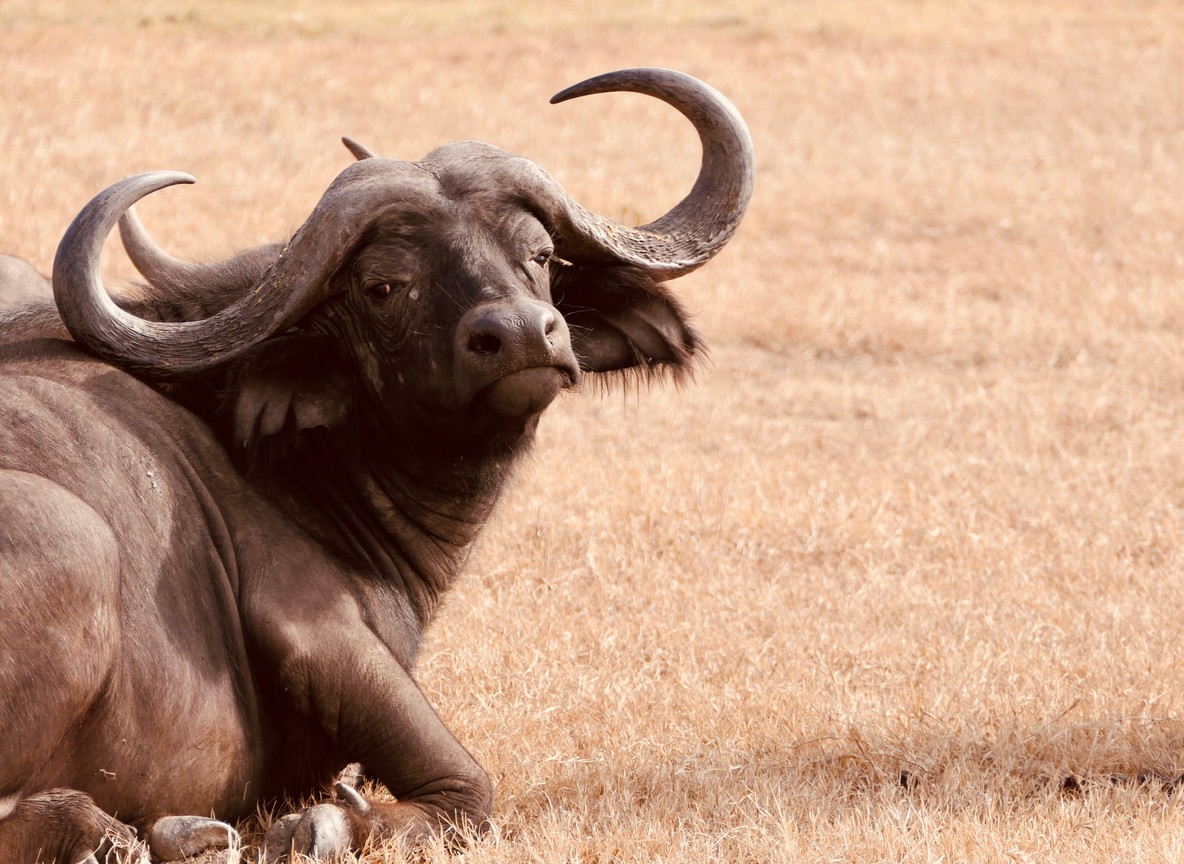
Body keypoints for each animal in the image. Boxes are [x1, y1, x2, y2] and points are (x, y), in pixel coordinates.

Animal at [0, 67, 753, 862]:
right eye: (385, 286)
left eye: (541, 254)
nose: (522, 334)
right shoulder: (317, 631)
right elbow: (469, 789)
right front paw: (331, 823)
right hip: (75, 535)